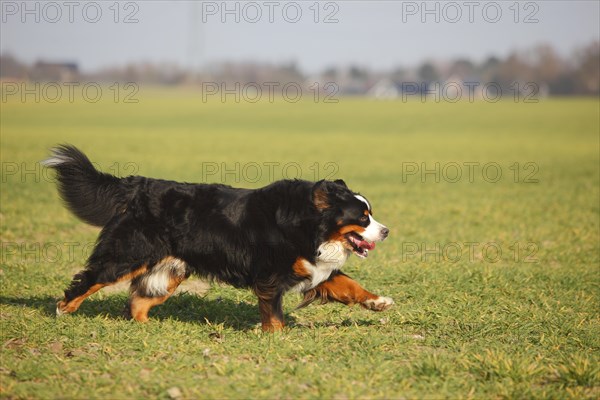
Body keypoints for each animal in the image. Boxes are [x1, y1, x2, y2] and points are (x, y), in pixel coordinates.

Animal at [45, 145, 394, 330]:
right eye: (363, 218)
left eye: (371, 214)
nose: (386, 231)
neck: (307, 224)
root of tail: (138, 186)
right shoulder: (271, 275)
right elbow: (274, 314)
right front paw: (276, 337)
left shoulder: (312, 265)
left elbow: (348, 284)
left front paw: (378, 302)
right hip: (127, 255)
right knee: (90, 279)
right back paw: (64, 309)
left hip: (169, 272)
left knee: (138, 303)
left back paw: (150, 327)